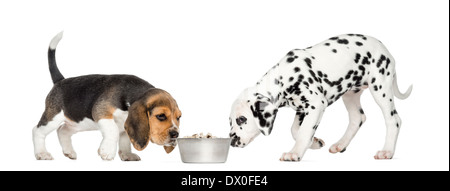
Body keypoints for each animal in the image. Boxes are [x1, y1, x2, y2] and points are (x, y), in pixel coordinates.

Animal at [32, 32, 182, 160]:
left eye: (179, 117)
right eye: (160, 116)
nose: (176, 134)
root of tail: (60, 81)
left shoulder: (125, 125)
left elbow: (125, 139)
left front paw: (127, 154)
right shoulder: (101, 111)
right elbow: (113, 131)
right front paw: (107, 151)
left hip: (79, 122)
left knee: (62, 130)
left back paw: (69, 152)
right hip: (53, 117)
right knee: (37, 130)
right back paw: (42, 153)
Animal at [230, 34, 414, 161]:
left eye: (241, 119)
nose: (231, 141)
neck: (284, 76)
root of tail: (385, 49)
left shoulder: (316, 105)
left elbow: (304, 131)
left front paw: (294, 153)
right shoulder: (302, 109)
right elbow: (296, 130)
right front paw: (314, 142)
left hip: (380, 89)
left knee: (393, 120)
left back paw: (387, 151)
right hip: (350, 95)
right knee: (358, 118)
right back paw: (340, 144)